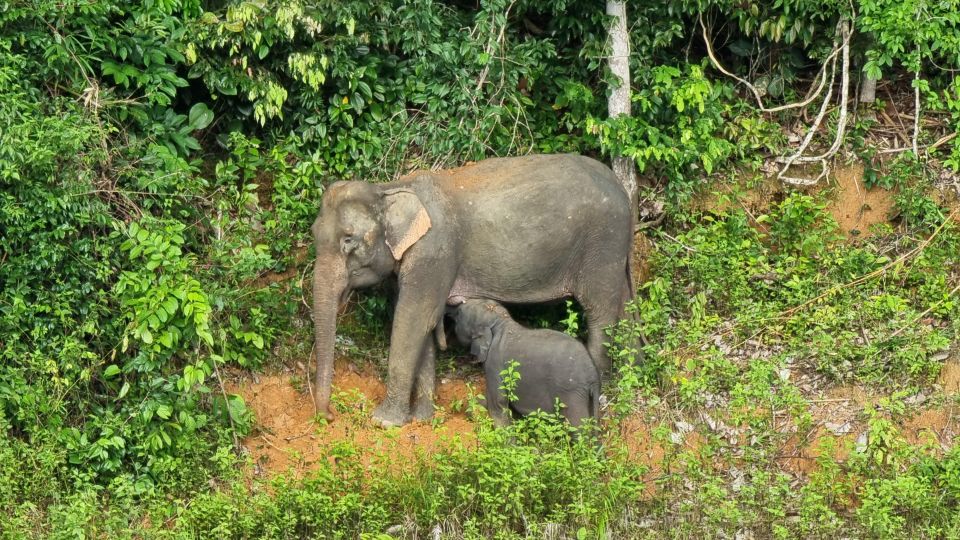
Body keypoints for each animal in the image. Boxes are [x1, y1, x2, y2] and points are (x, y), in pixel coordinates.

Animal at [446, 298, 596, 428]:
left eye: (459, 313)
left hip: (571, 391)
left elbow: (498, 403)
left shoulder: (494, 364)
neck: (500, 321)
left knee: (577, 425)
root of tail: (592, 373)